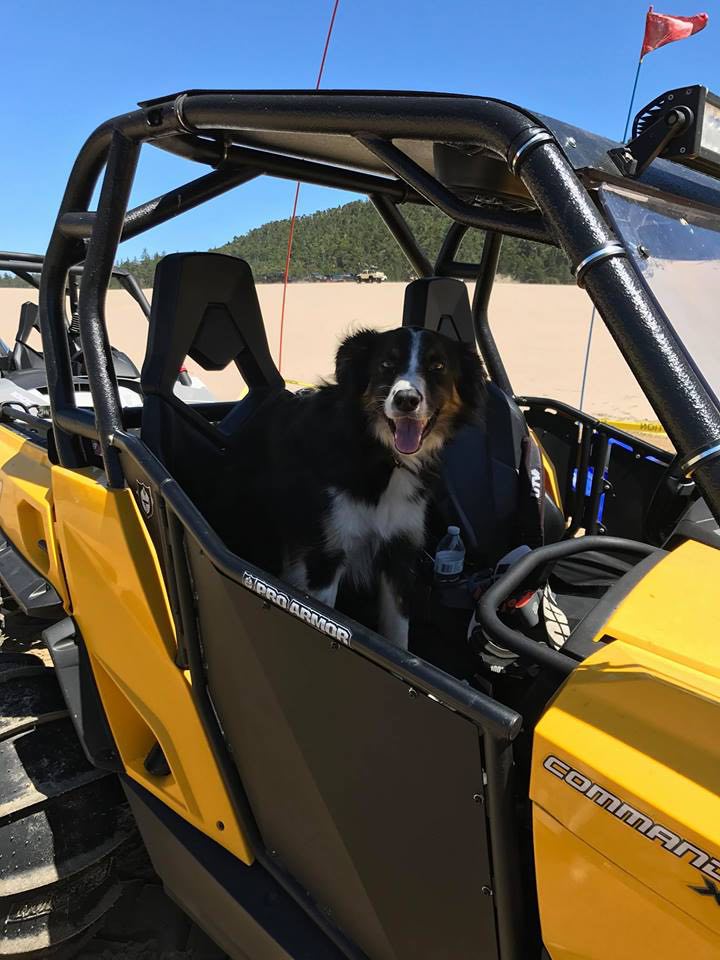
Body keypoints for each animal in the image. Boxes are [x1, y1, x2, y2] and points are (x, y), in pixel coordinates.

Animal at [239, 326, 486, 648]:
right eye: (386, 364)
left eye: (438, 366)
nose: (406, 399)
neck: (382, 456)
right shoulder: (327, 553)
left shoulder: (399, 552)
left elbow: (397, 633)